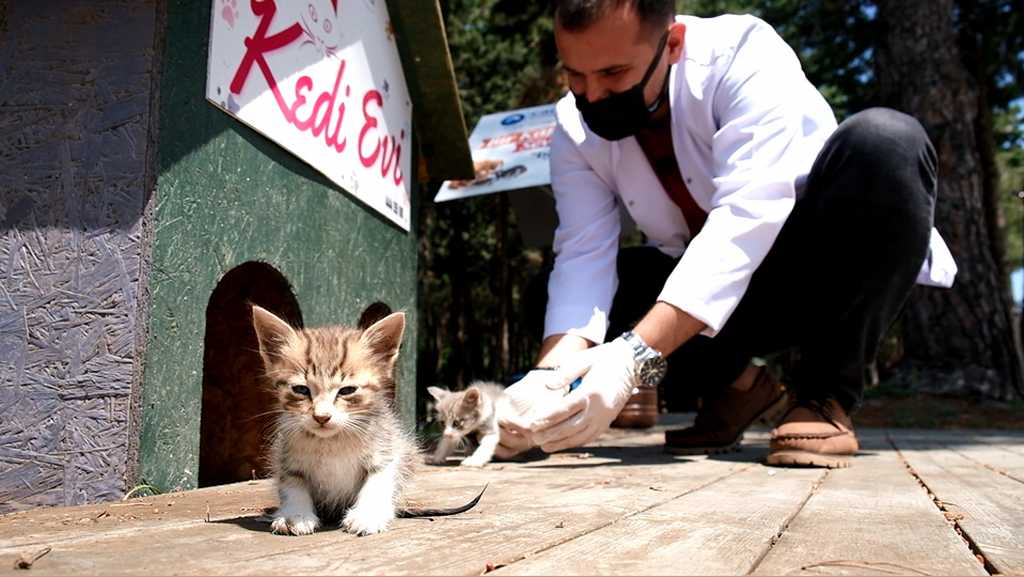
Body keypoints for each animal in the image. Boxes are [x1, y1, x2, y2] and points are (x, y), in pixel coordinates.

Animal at [253, 307, 481, 537]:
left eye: (347, 390)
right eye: (301, 389)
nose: (321, 416)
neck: (333, 442)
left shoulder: (387, 449)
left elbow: (377, 481)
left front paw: (367, 515)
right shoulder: (285, 455)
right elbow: (292, 484)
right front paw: (295, 515)